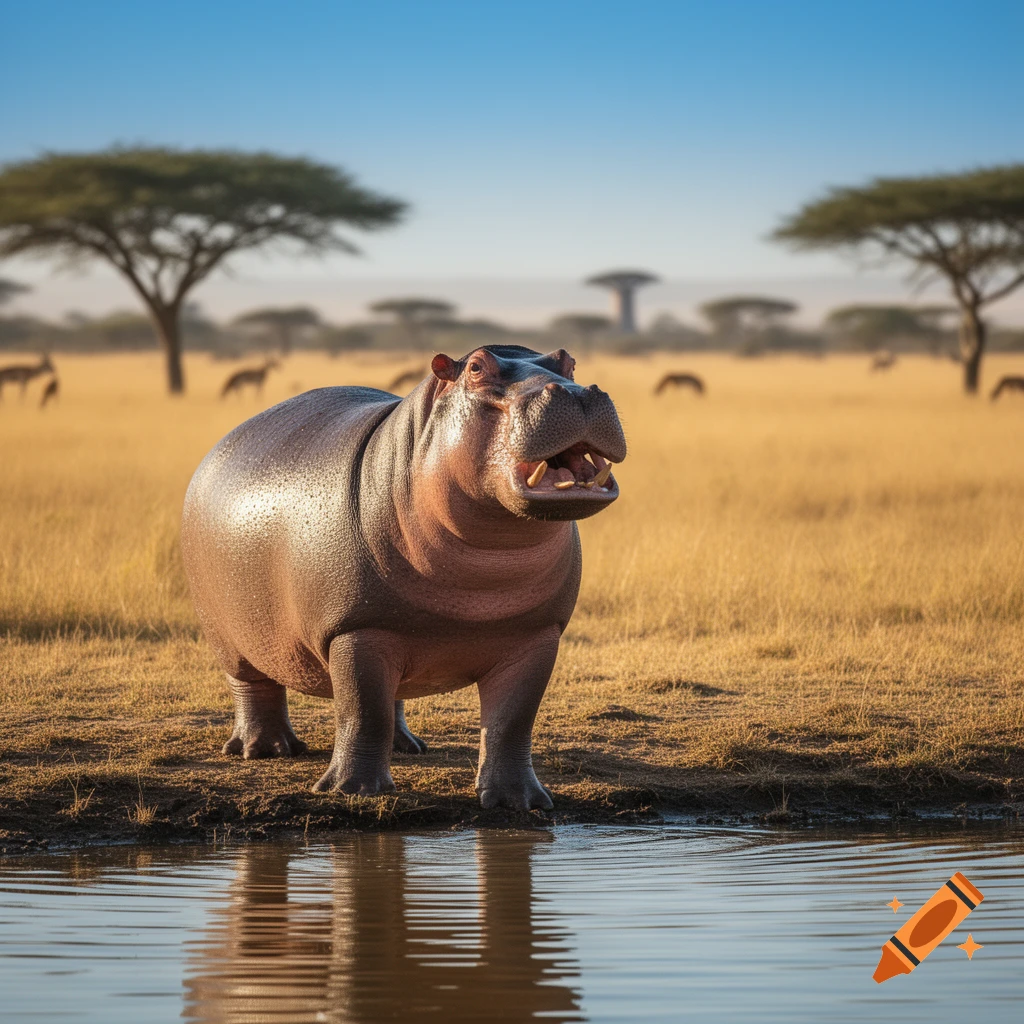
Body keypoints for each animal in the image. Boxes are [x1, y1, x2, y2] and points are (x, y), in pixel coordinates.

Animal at [181, 345, 626, 809]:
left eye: (568, 361)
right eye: (476, 366)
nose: (577, 392)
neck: (485, 573)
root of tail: (222, 444)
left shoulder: (537, 635)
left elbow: (512, 721)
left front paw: (519, 802)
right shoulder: (356, 630)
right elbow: (362, 712)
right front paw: (353, 791)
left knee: (392, 697)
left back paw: (406, 747)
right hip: (228, 635)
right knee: (253, 686)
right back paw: (266, 750)